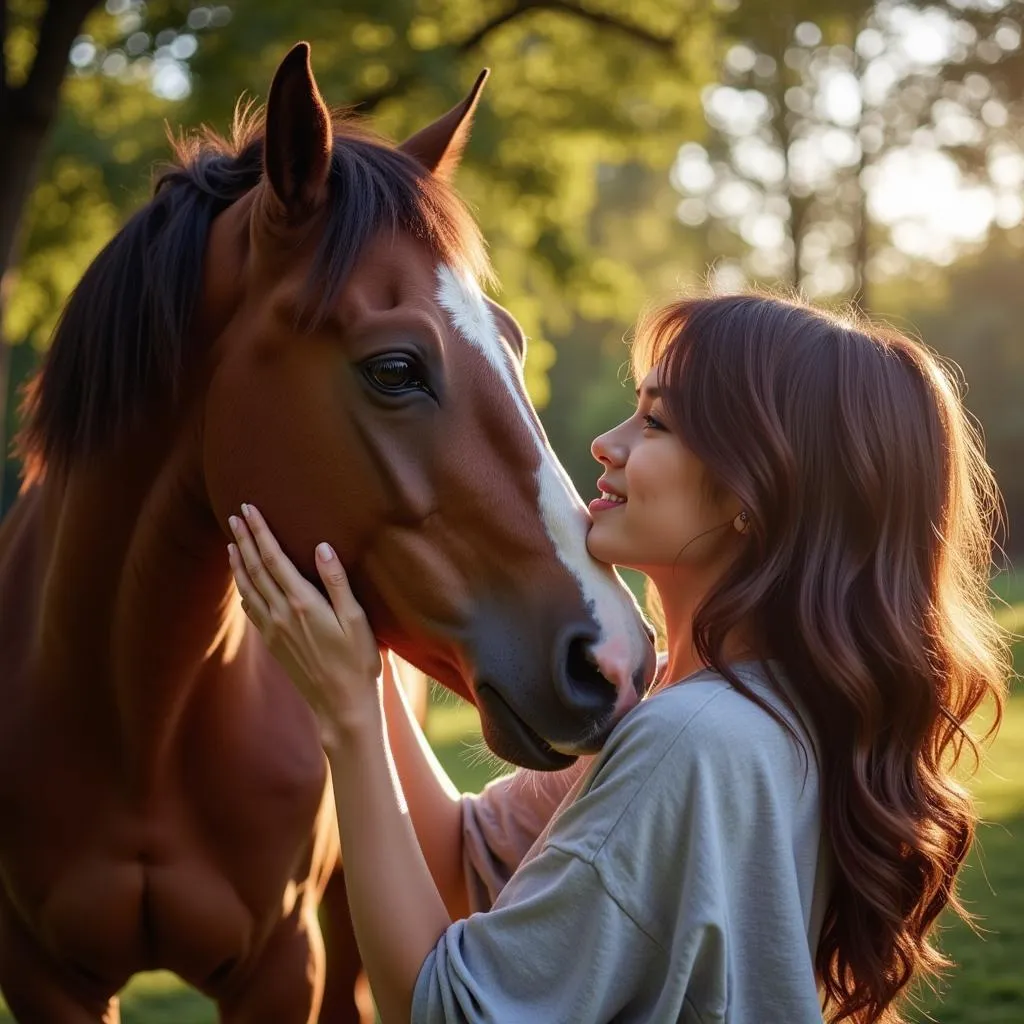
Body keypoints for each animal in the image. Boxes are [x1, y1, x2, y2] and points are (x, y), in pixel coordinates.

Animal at [0, 41, 655, 1024]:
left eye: (512, 342)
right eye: (394, 368)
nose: (616, 659)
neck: (135, 722)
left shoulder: (283, 965)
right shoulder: (46, 976)